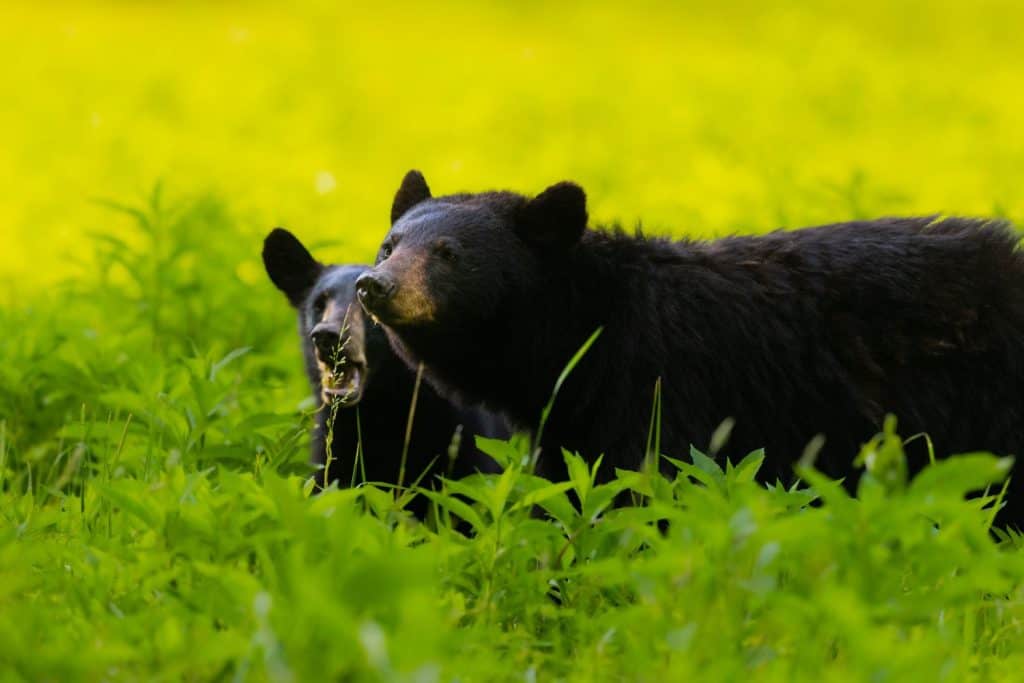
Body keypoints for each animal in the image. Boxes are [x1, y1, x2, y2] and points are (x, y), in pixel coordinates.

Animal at [262, 227, 506, 516]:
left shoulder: (464, 443)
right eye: (319, 304)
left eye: (364, 304)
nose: (326, 336)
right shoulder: (333, 447)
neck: (380, 408)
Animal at [355, 170, 1024, 526]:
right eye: (390, 244)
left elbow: (650, 489)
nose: (373, 285)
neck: (584, 336)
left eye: (448, 255)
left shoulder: (662, 387)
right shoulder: (576, 420)